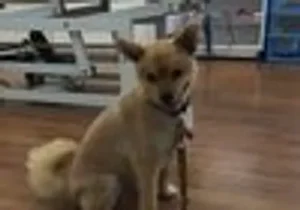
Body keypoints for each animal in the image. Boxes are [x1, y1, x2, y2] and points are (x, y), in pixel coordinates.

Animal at [25, 23, 199, 210]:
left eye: (177, 73)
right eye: (151, 77)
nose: (166, 97)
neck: (162, 111)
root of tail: (69, 186)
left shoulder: (168, 154)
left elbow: (163, 176)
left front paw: (164, 193)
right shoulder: (146, 165)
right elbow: (149, 198)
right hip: (110, 182)